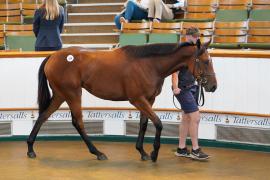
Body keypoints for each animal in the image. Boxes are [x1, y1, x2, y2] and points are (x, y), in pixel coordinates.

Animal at [27, 40, 217, 162]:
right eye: (205, 61)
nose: (213, 86)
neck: (149, 64)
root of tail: (53, 56)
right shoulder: (138, 100)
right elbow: (158, 123)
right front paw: (154, 153)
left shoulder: (149, 100)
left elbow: (144, 124)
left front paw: (142, 152)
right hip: (72, 94)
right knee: (77, 122)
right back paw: (97, 152)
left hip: (60, 95)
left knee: (43, 116)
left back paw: (30, 148)